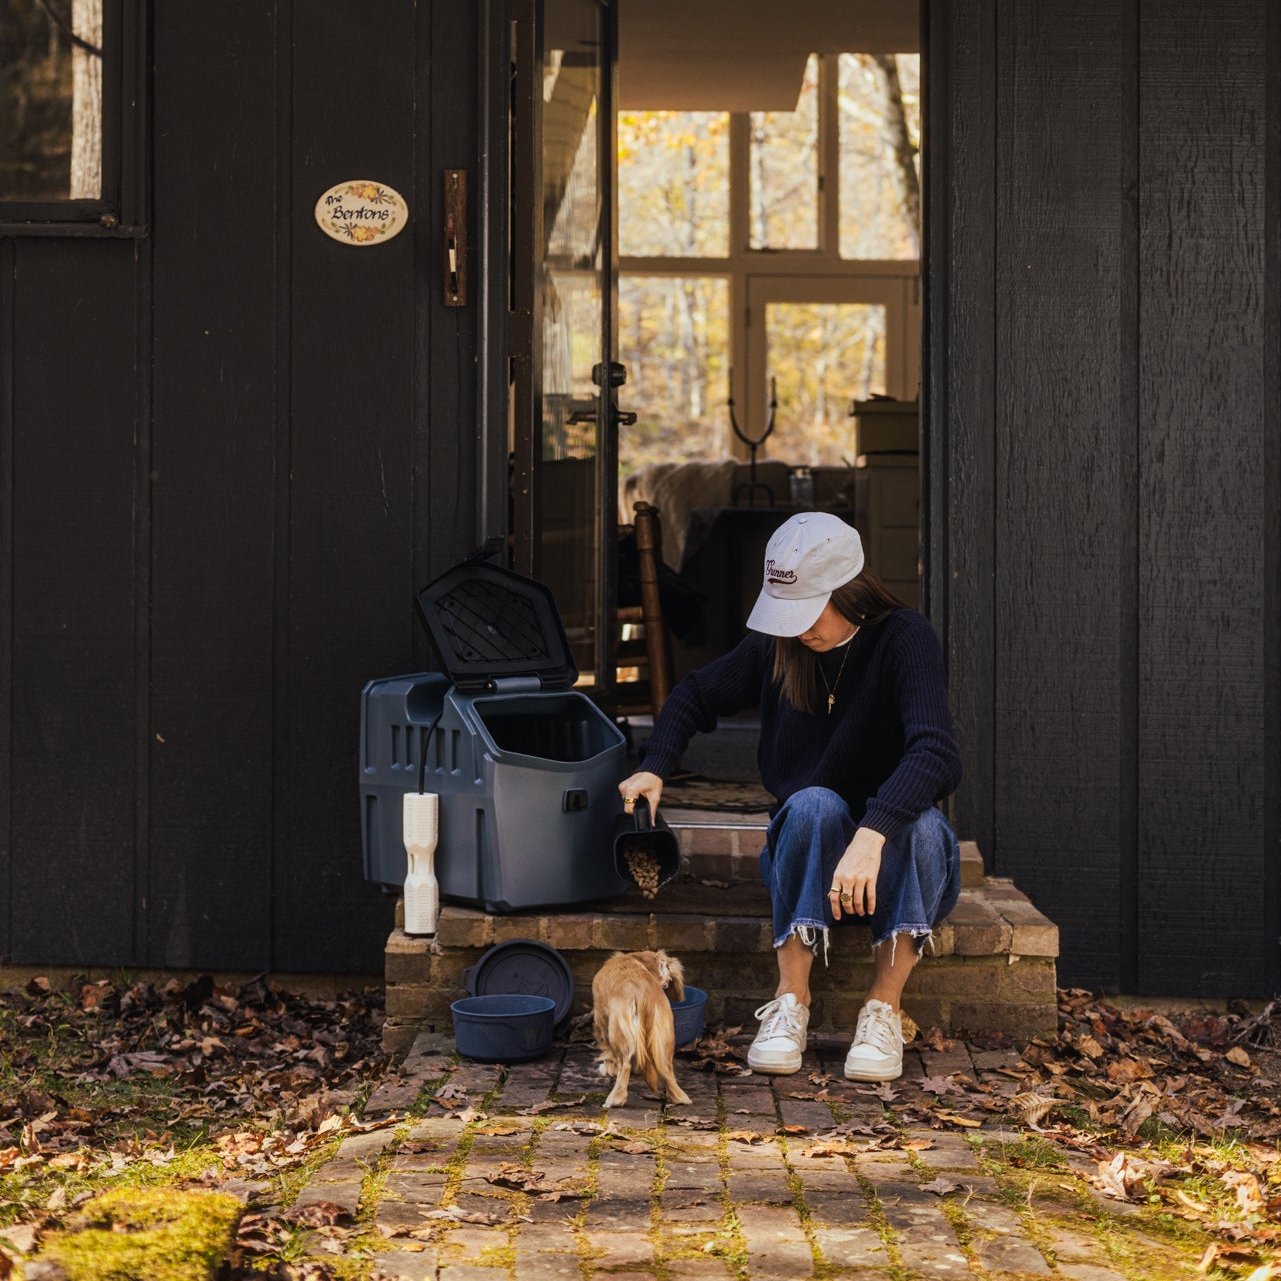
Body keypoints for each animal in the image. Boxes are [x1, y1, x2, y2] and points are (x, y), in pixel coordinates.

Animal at [589, 947, 691, 1106]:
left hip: (617, 1031)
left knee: (625, 1065)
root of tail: (643, 994)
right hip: (664, 1037)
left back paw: (614, 1099)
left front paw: (607, 1068)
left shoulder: (602, 1021)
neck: (636, 959)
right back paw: (679, 1097)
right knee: (667, 1070)